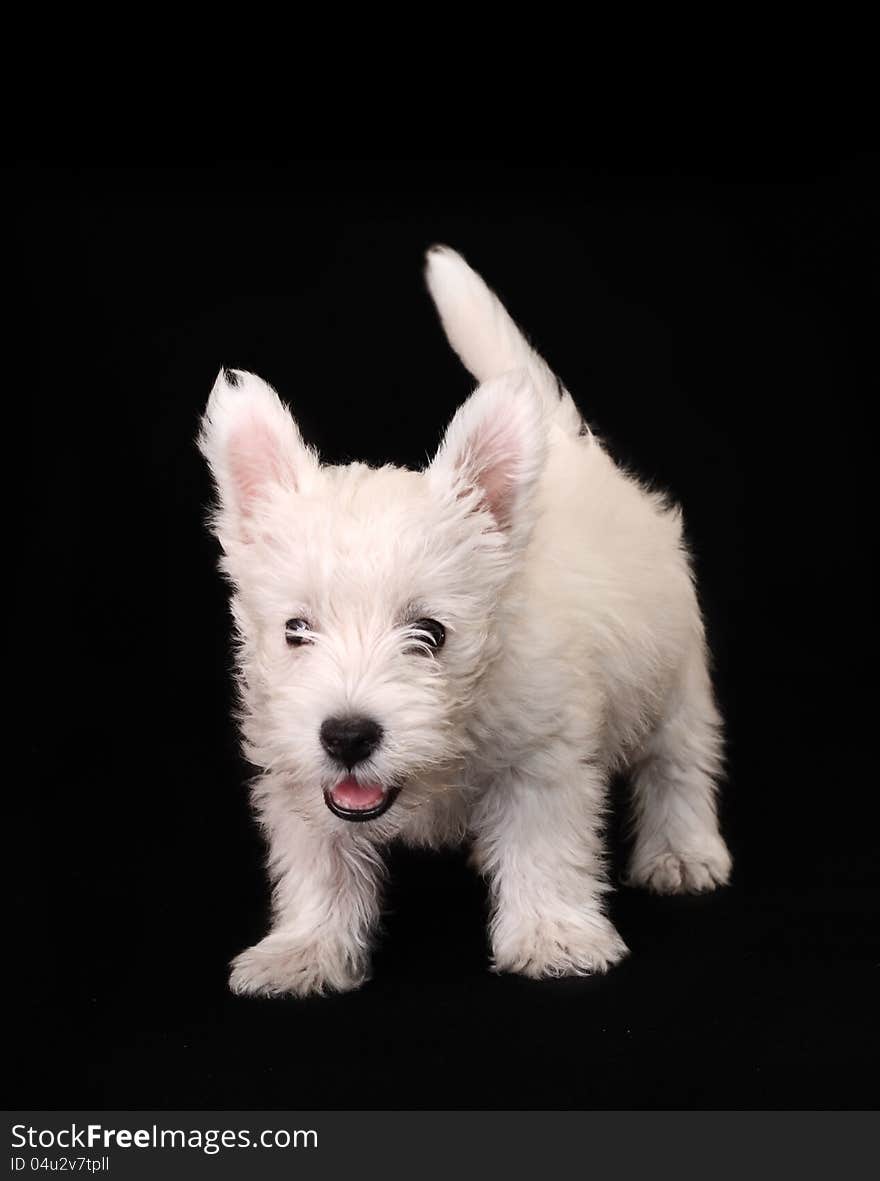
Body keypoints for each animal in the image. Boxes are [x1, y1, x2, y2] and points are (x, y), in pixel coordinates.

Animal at [201, 249, 732, 996]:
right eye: (295, 630)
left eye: (431, 633)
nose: (347, 736)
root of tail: (574, 452)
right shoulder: (297, 772)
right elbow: (319, 863)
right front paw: (304, 949)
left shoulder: (543, 758)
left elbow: (544, 847)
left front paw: (551, 936)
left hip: (677, 677)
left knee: (678, 764)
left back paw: (683, 852)